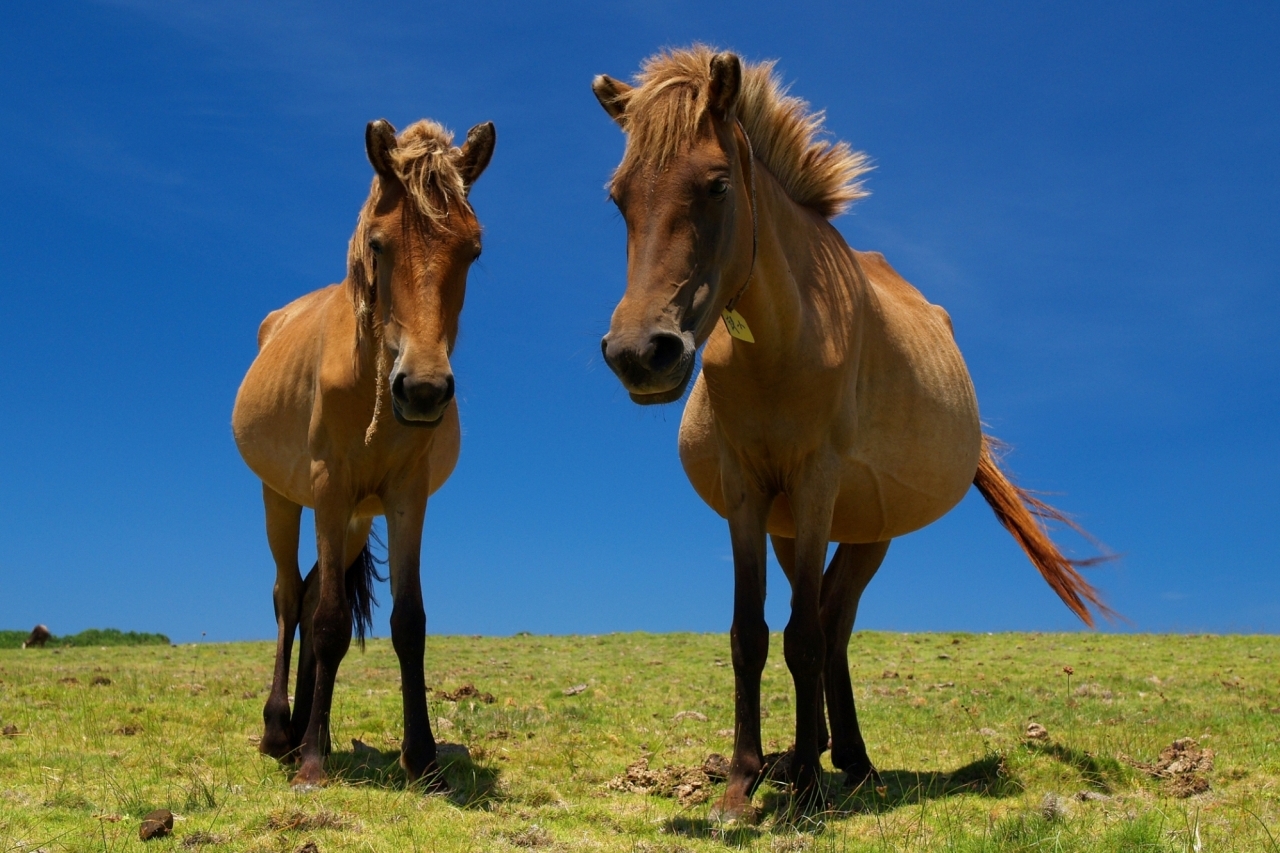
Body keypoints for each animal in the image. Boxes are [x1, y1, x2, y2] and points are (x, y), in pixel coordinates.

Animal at [232, 116, 491, 788]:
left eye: (473, 250)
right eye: (378, 243)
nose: (423, 389)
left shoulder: (404, 497)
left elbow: (409, 622)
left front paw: (423, 759)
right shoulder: (328, 487)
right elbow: (327, 622)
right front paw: (311, 765)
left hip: (350, 520)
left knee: (310, 594)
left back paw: (306, 729)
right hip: (283, 498)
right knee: (289, 598)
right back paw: (282, 733)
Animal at [593, 48, 1105, 819]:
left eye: (716, 185)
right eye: (619, 195)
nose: (639, 353)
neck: (781, 344)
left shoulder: (816, 482)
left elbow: (804, 635)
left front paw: (805, 781)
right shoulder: (748, 492)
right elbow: (749, 634)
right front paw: (744, 781)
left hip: (869, 529)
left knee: (832, 622)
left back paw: (846, 761)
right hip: (796, 523)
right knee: (822, 615)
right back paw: (823, 756)